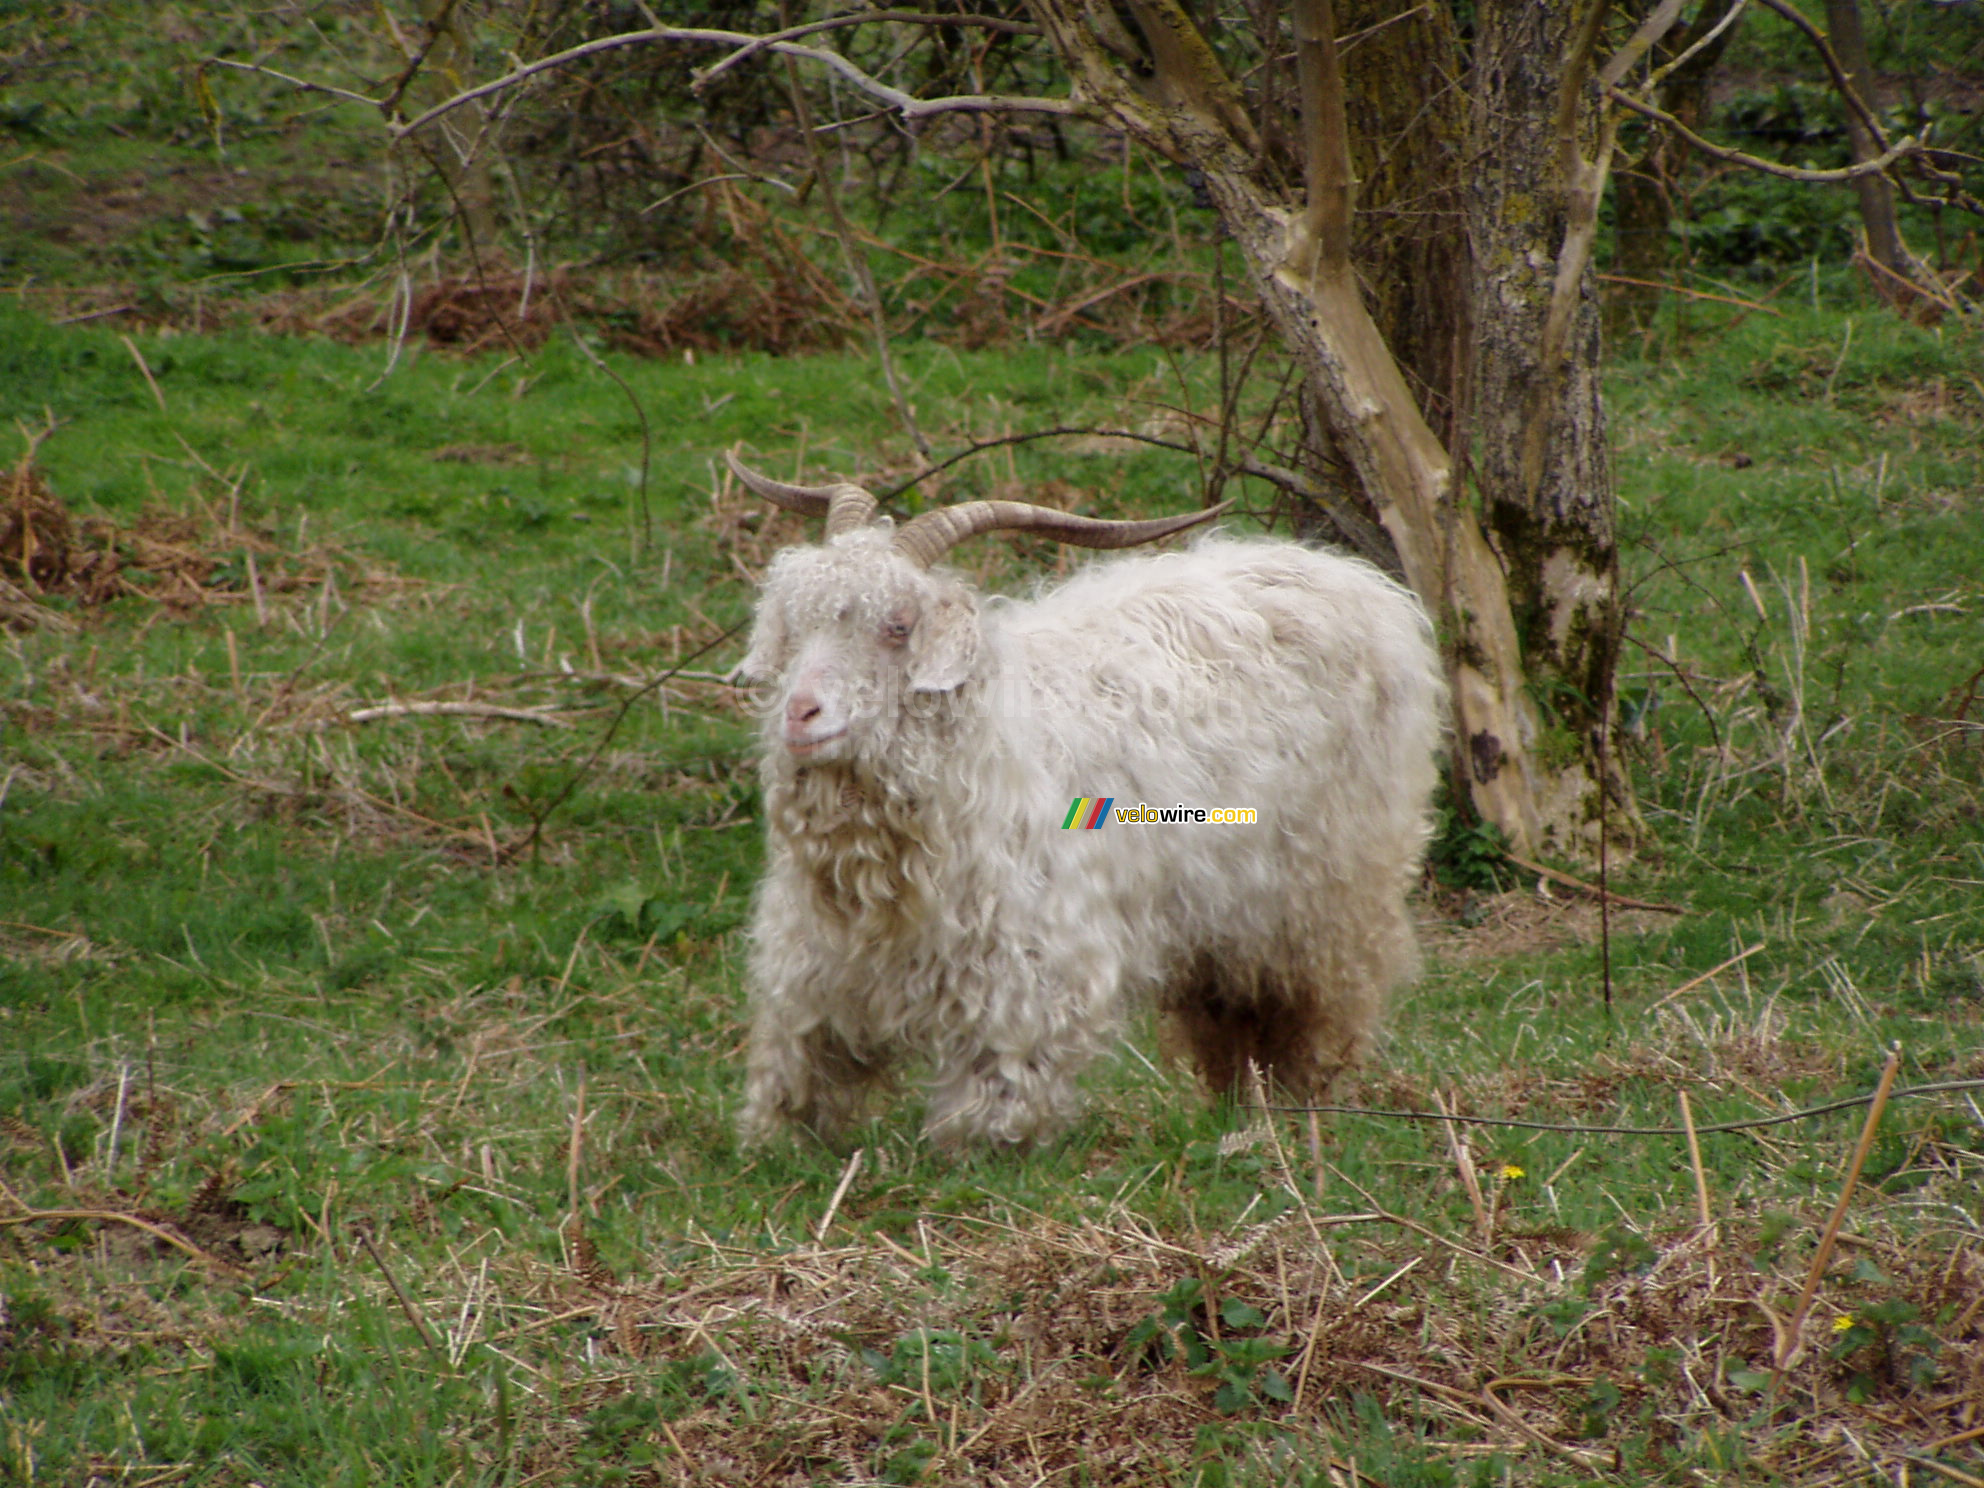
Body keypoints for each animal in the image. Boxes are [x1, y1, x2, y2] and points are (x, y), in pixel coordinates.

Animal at [730, 458, 1444, 1150]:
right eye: (795, 624)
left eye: (898, 627)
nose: (801, 712)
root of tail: (1351, 578)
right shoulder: (818, 962)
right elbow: (802, 1053)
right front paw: (779, 1134)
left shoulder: (1026, 963)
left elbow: (1001, 1066)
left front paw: (980, 1144)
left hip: (1333, 884)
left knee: (1327, 994)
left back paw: (1305, 1098)